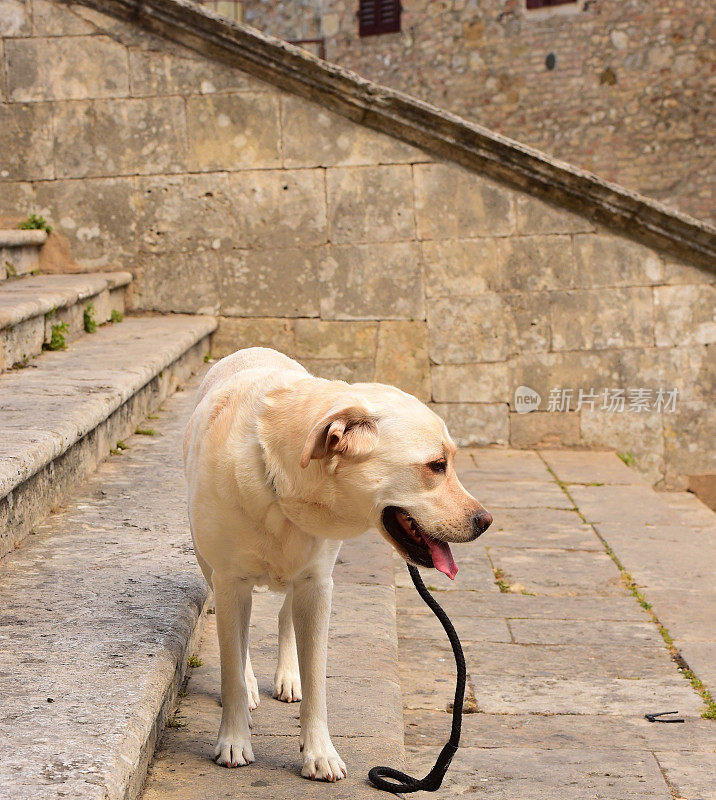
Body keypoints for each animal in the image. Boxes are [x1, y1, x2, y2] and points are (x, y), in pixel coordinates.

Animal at [183, 346, 492, 780]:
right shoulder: (230, 581)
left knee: (284, 615)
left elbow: (317, 681)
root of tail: (253, 349)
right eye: (436, 466)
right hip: (209, 570)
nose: (485, 521)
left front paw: (319, 753)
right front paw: (233, 739)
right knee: (238, 646)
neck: (282, 487)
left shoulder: (317, 587)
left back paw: (288, 678)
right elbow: (231, 669)